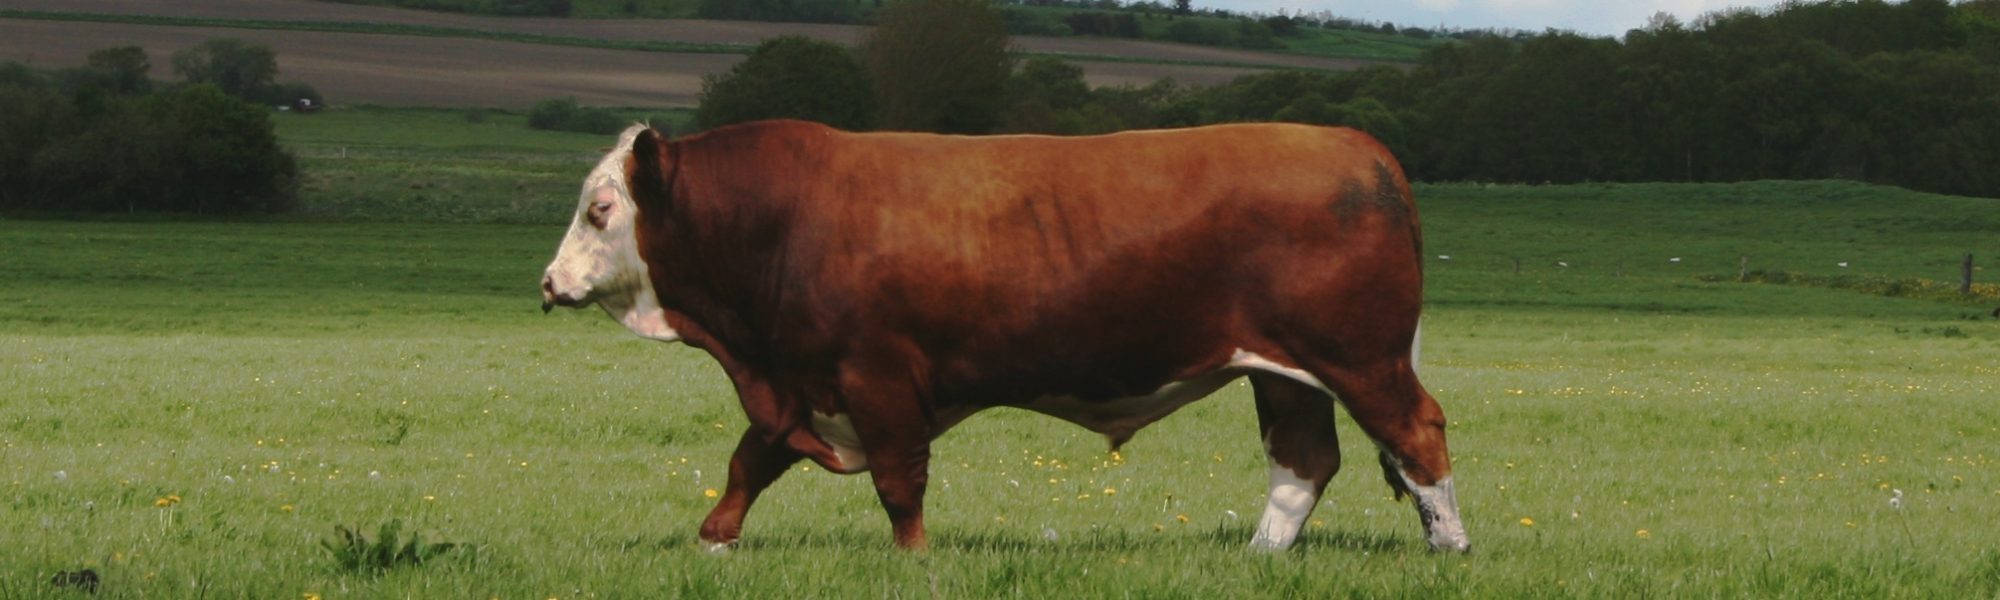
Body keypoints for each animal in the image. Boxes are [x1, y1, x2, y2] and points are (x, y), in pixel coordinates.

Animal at [539, 120, 1469, 553]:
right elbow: (749, 463)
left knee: (1418, 435)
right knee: (1304, 461)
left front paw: (914, 563)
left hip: (1360, 358)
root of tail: (1355, 146)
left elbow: (899, 484)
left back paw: (1450, 546)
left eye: (601, 208)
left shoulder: (878, 377)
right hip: (1284, 371)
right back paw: (1259, 557)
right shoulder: (798, 383)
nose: (549, 283)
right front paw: (714, 540)